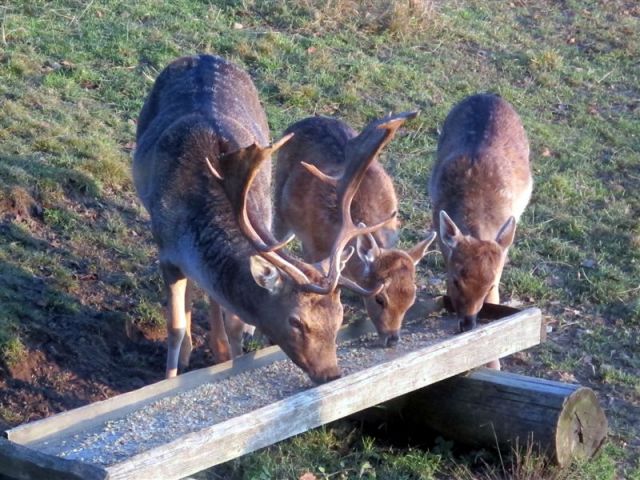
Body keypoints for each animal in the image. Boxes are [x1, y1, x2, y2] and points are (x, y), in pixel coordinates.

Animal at [133, 53, 396, 382]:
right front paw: (172, 376)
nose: (331, 374)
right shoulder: (166, 253)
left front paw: (229, 358)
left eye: (339, 318)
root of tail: (203, 55)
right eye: (296, 321)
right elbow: (175, 327)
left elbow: (233, 322)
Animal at [272, 114, 438, 346]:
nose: (393, 339)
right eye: (380, 299)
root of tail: (301, 121)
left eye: (411, 298)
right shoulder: (315, 246)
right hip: (279, 200)